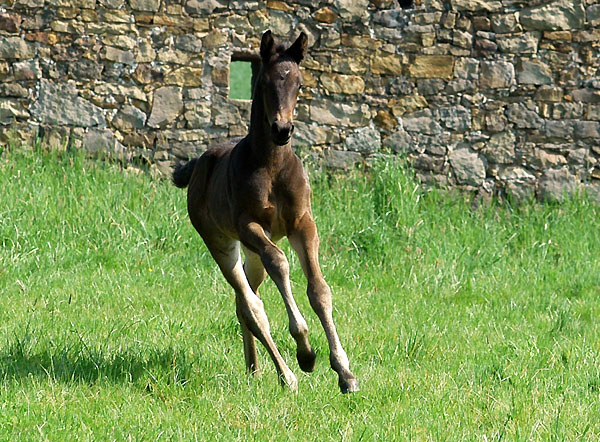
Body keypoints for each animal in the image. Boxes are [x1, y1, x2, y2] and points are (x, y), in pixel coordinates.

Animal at [171, 29, 358, 392]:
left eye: (299, 83)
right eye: (266, 82)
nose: (282, 130)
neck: (272, 166)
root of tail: (199, 163)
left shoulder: (303, 224)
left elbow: (319, 291)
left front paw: (345, 372)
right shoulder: (249, 226)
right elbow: (280, 263)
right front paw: (305, 350)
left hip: (250, 251)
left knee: (247, 295)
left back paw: (254, 368)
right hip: (221, 242)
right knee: (250, 304)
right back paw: (286, 375)